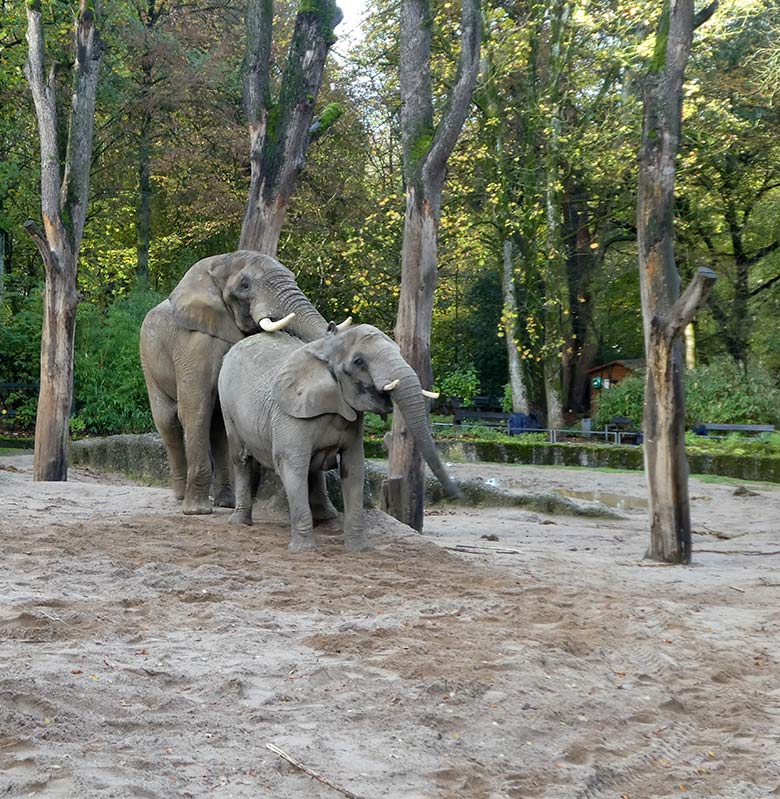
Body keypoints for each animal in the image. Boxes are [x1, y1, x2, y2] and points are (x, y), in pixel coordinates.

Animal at [140, 248, 348, 512]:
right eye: (245, 285)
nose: (332, 327)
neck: (218, 264)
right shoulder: (194, 344)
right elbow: (195, 409)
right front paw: (197, 512)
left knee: (218, 426)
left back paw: (226, 502)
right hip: (148, 356)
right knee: (168, 421)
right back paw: (180, 497)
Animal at [216, 320, 460, 552]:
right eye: (359, 362)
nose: (457, 495)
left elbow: (353, 468)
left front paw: (359, 549)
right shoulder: (289, 415)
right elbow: (291, 464)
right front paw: (303, 550)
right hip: (226, 401)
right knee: (241, 458)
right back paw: (240, 522)